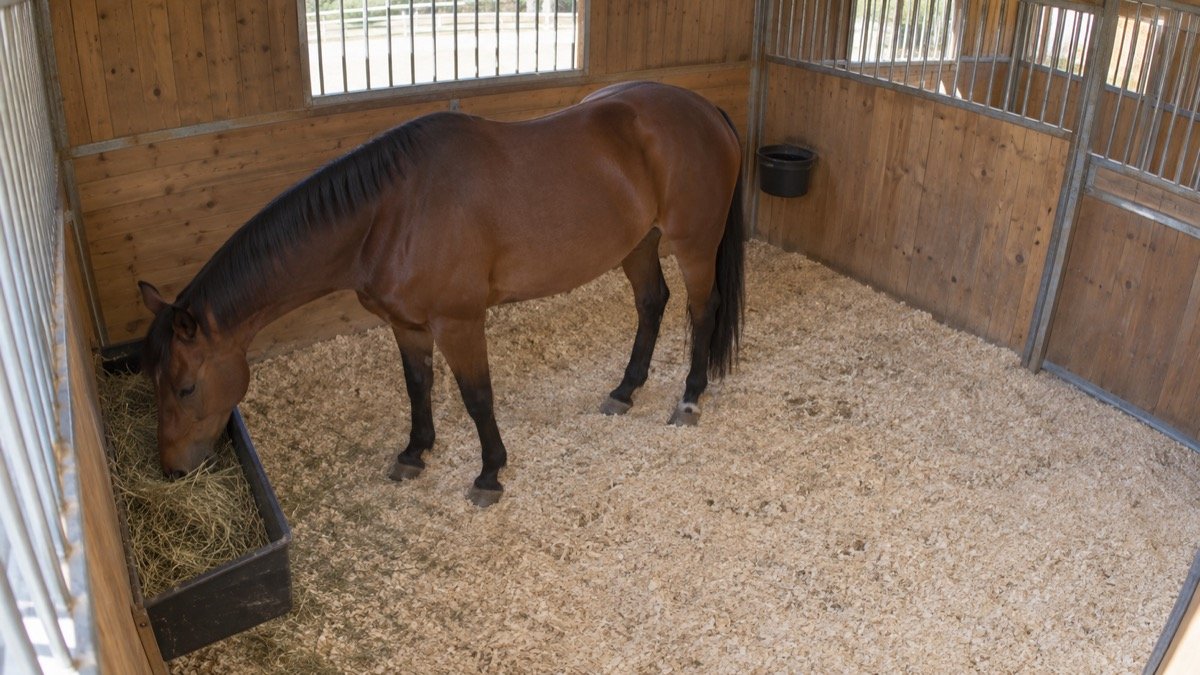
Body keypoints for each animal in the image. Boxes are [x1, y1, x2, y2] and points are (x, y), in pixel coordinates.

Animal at [137, 81, 745, 507]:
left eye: (185, 387)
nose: (172, 469)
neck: (390, 212)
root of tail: (705, 109)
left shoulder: (459, 322)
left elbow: (477, 397)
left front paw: (490, 473)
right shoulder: (406, 325)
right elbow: (418, 387)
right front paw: (415, 453)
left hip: (693, 244)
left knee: (702, 310)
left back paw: (689, 398)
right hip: (637, 244)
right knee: (652, 304)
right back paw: (625, 390)